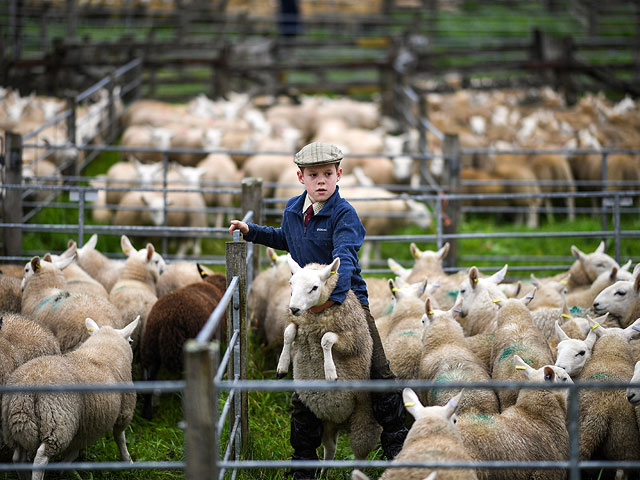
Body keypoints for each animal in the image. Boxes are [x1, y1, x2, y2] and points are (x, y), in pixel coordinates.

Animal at [2, 316, 138, 478]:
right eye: (131, 341)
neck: (103, 348)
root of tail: (28, 387)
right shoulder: (124, 411)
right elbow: (120, 437)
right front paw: (127, 461)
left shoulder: (86, 422)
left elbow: (75, 449)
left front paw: (64, 467)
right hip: (57, 423)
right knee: (41, 457)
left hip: (14, 426)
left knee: (18, 457)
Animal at [274, 255, 380, 468]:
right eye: (291, 283)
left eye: (314, 287)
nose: (294, 308)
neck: (314, 314)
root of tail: (341, 421)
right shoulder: (296, 322)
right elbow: (288, 333)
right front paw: (282, 365)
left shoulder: (351, 339)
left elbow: (326, 339)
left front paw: (330, 372)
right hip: (325, 423)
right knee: (330, 450)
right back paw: (323, 471)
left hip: (364, 420)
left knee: (360, 455)